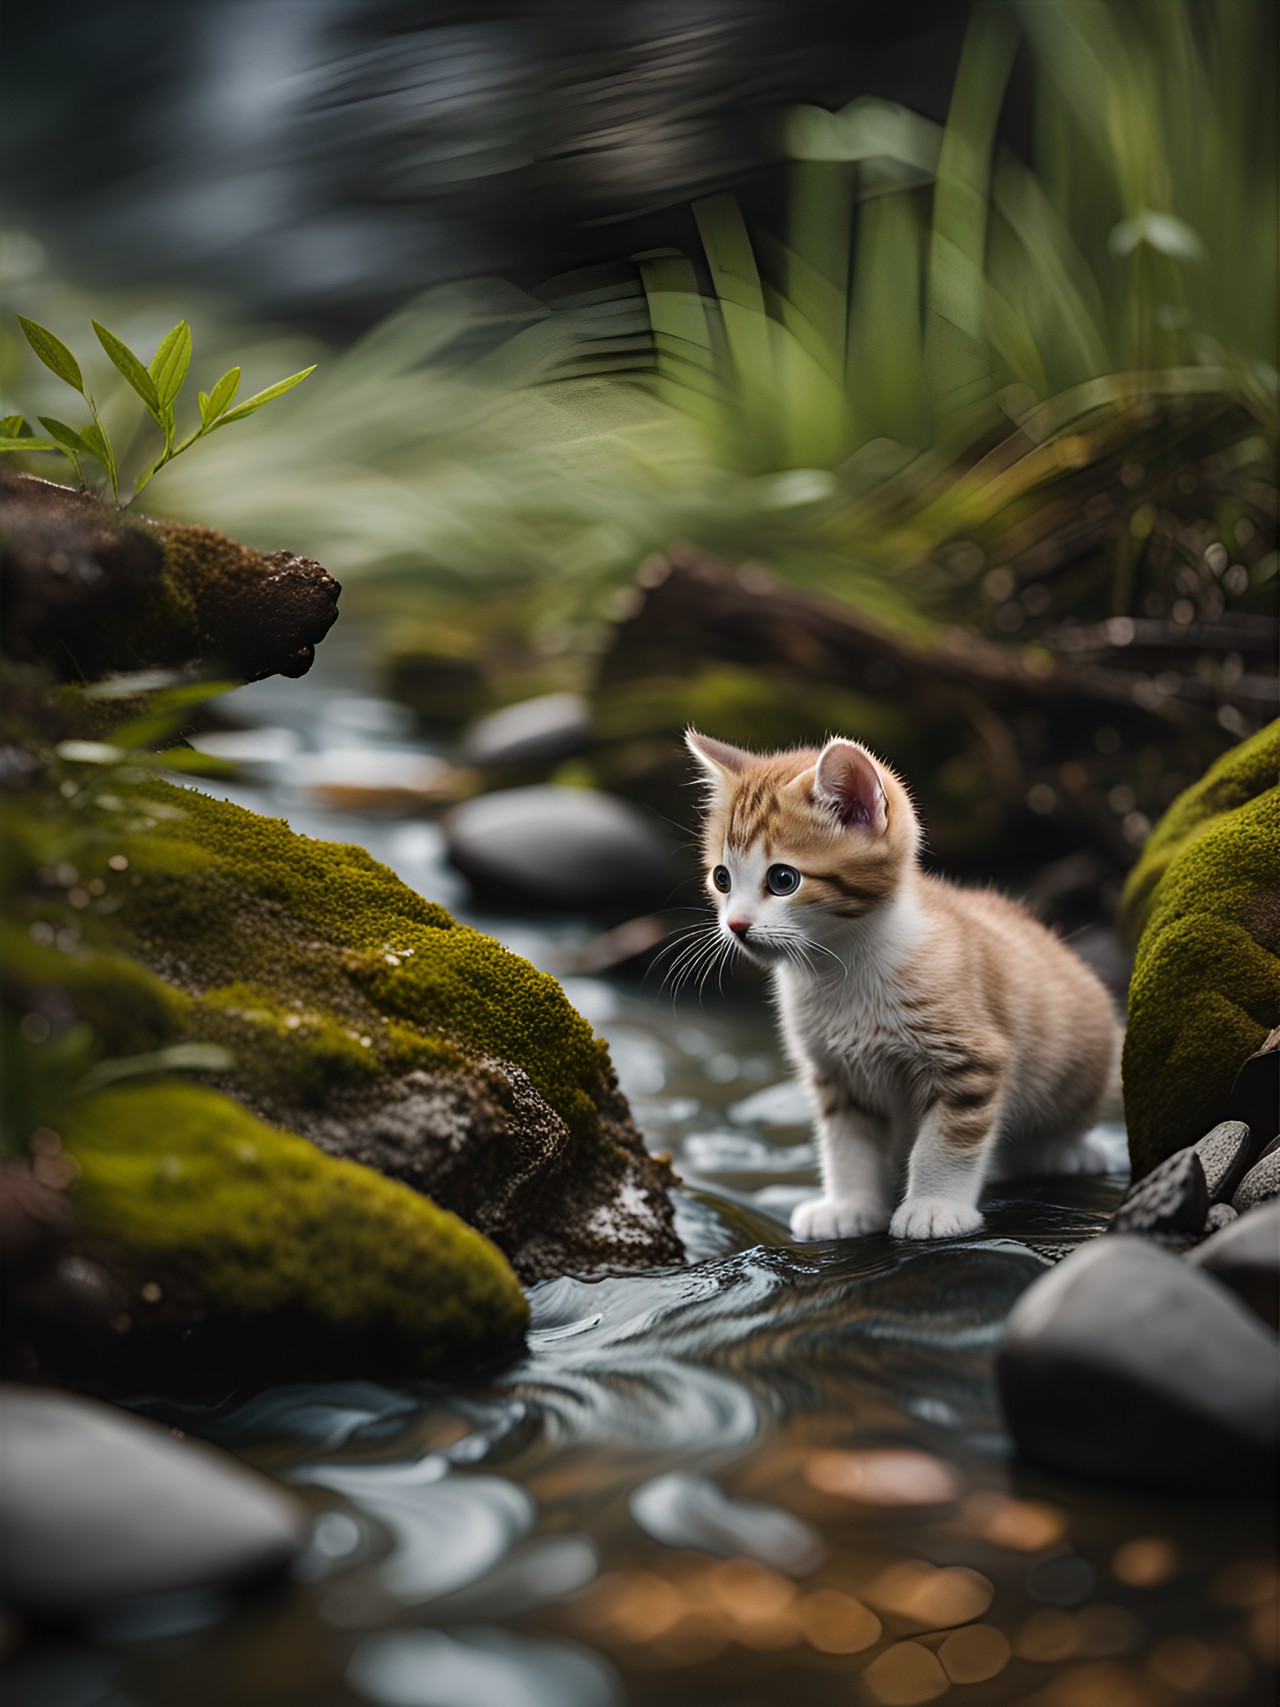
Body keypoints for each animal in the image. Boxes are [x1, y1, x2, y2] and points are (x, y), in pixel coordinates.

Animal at [692, 730, 1119, 1242]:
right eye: (721, 878)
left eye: (782, 879)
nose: (735, 924)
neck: (841, 969)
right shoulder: (838, 1076)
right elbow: (847, 1146)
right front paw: (850, 1206)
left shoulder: (968, 1061)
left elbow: (946, 1143)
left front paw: (935, 1207)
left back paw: (1065, 1151)